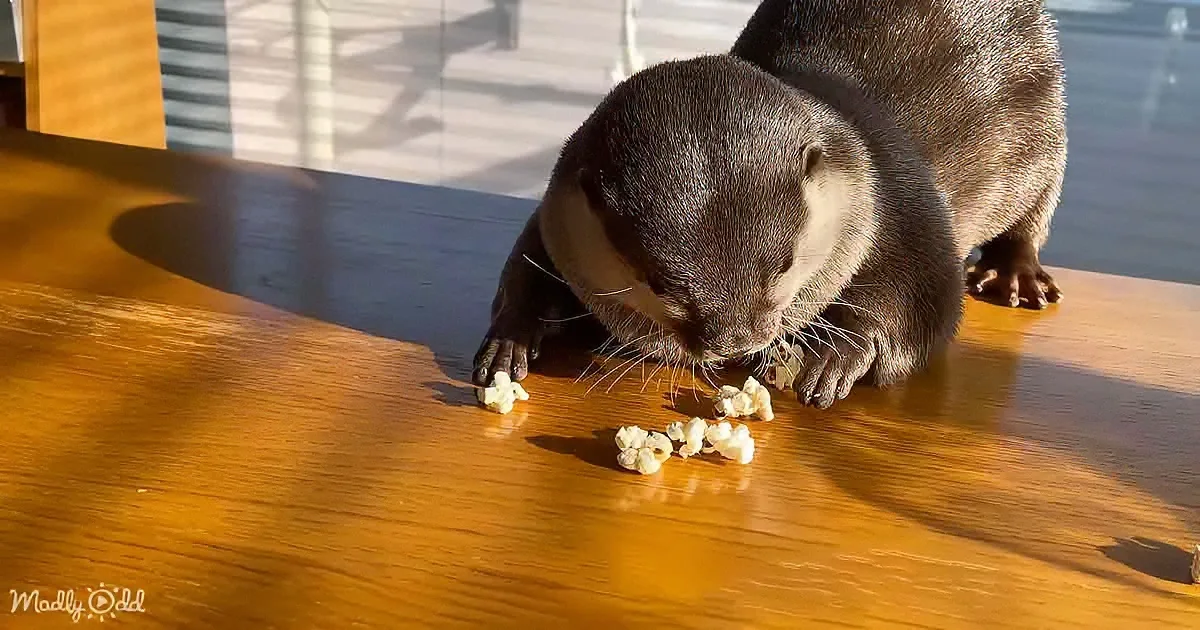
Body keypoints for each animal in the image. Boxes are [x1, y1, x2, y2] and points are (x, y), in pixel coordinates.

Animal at [472, 0, 1067, 409]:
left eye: (782, 264)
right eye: (657, 281)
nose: (737, 339)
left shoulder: (901, 203)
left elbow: (926, 306)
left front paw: (840, 354)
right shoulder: (560, 215)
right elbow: (526, 264)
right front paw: (510, 338)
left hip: (1047, 131)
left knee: (1033, 213)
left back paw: (1014, 275)